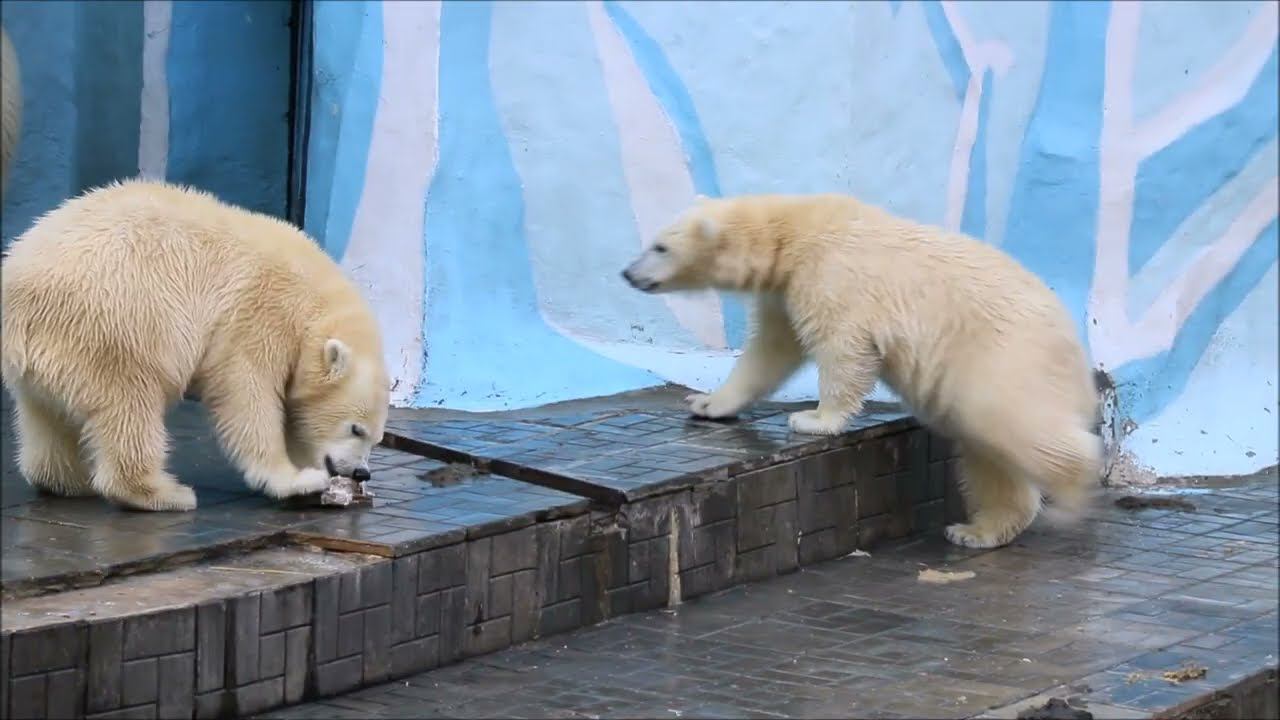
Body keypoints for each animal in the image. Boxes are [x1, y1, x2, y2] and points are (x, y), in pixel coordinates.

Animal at [1, 179, 391, 512]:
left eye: (377, 438)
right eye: (356, 428)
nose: (361, 472)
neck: (311, 297)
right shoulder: (258, 313)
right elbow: (246, 393)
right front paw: (297, 480)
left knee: (46, 418)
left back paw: (69, 481)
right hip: (113, 327)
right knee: (130, 407)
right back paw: (165, 493)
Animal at [621, 193, 1101, 549]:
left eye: (660, 246)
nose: (627, 273)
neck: (791, 229)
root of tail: (1073, 347)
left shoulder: (831, 276)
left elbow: (843, 349)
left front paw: (814, 419)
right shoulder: (784, 290)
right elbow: (771, 352)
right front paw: (707, 402)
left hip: (1002, 356)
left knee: (1008, 420)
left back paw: (1072, 487)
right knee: (988, 450)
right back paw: (977, 531)